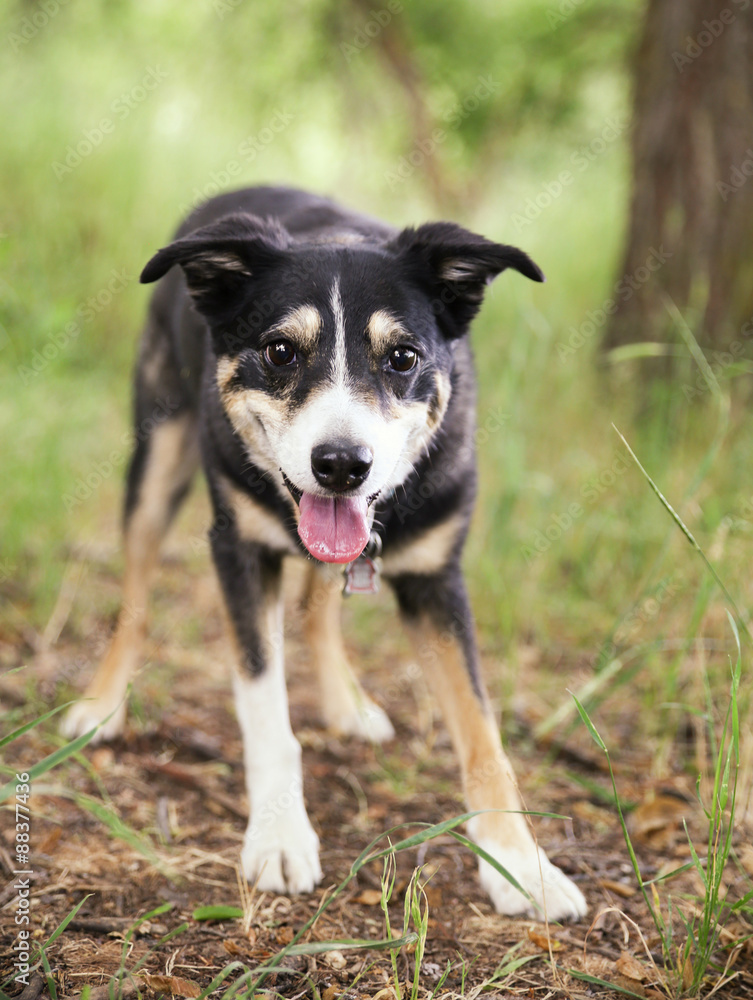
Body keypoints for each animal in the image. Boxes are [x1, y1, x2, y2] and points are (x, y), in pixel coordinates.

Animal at [60, 188, 588, 920]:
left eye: (402, 358)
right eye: (280, 351)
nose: (341, 465)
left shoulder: (436, 579)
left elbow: (484, 735)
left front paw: (521, 865)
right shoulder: (239, 552)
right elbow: (265, 709)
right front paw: (280, 837)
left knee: (317, 606)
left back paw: (346, 703)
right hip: (157, 455)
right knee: (135, 598)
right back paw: (103, 705)